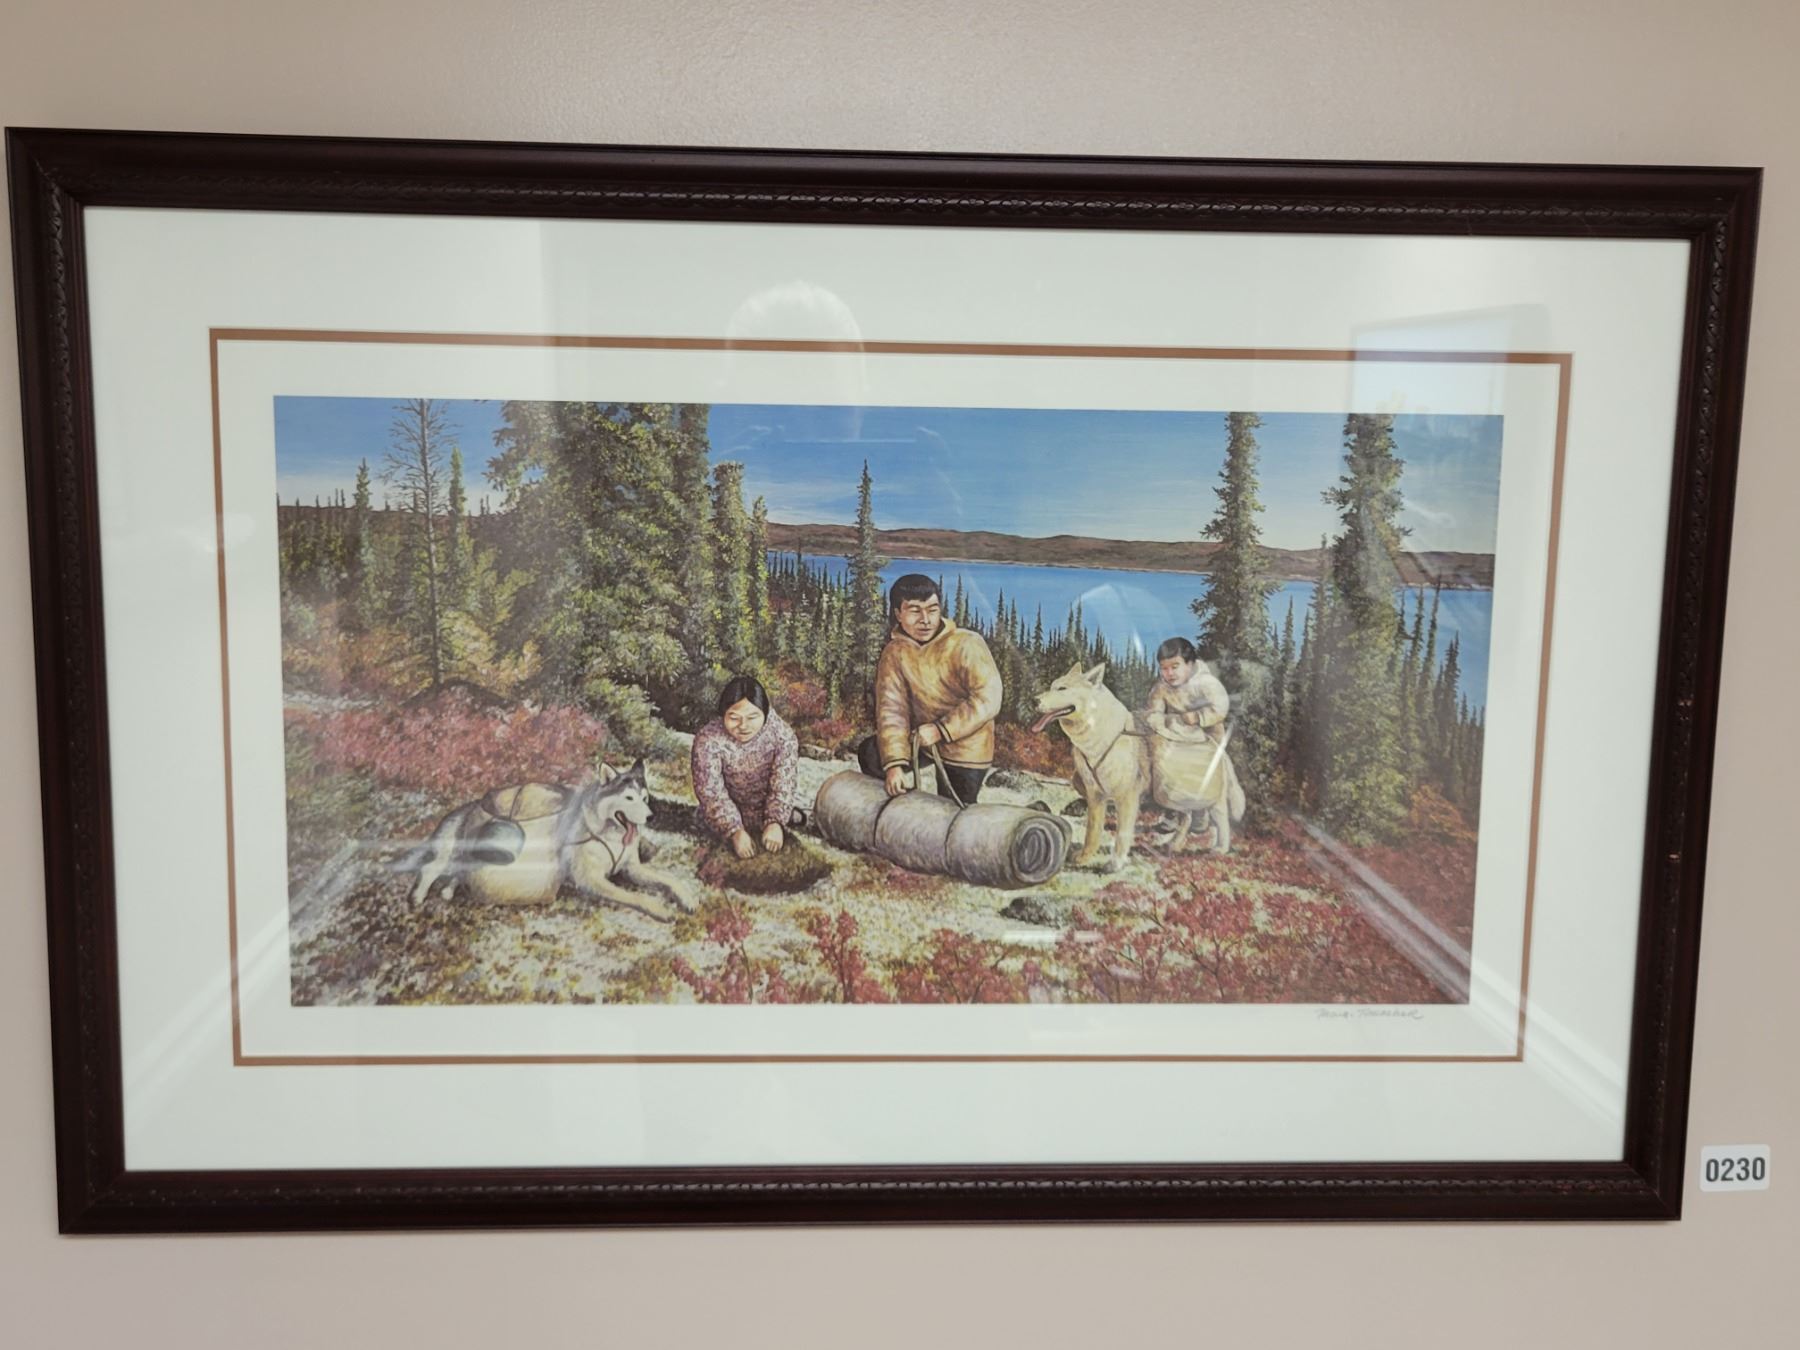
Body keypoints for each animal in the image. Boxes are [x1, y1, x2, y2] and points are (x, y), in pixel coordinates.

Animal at [404, 759, 695, 921]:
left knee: (456, 874)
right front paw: (658, 908)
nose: (650, 815)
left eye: (645, 798)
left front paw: (686, 896)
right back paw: (418, 897)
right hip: (457, 851)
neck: (609, 835)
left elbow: (669, 879)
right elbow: (635, 896)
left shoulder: (632, 868)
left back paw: (447, 891)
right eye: (629, 798)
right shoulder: (592, 880)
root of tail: (472, 805)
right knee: (432, 868)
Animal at [1031, 663, 1245, 869]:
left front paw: (1115, 864)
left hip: (1198, 797)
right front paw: (1084, 858)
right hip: (1169, 795)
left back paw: (1220, 848)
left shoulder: (1127, 798)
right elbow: (1092, 832)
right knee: (1188, 817)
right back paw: (1174, 845)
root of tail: (1218, 747)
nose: (1034, 700)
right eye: (1052, 686)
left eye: (1062, 688)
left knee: (1222, 821)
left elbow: (1122, 835)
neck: (1103, 737)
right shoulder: (1095, 797)